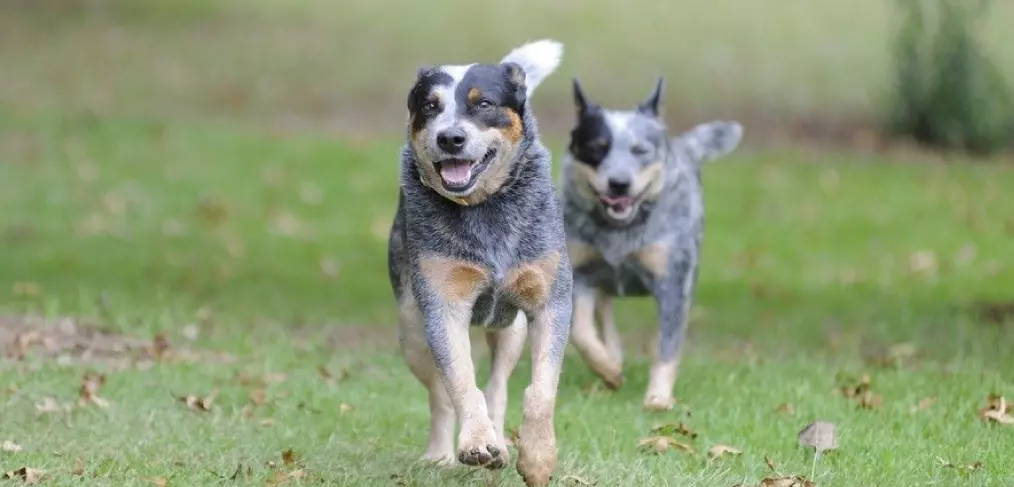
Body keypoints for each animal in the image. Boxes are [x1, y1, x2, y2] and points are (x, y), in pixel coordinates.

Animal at [387, 39, 575, 487]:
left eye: (484, 103)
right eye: (430, 106)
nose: (451, 137)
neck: (484, 209)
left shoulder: (550, 300)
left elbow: (541, 389)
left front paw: (538, 458)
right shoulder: (443, 304)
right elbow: (459, 381)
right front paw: (475, 444)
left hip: (511, 328)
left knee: (500, 386)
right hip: (411, 328)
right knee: (439, 394)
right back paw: (443, 454)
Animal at [559, 76, 742, 409]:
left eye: (640, 150)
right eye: (596, 148)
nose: (619, 184)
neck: (619, 235)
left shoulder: (672, 283)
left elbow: (666, 347)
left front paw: (658, 398)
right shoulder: (582, 273)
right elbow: (581, 332)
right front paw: (609, 370)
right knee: (605, 314)